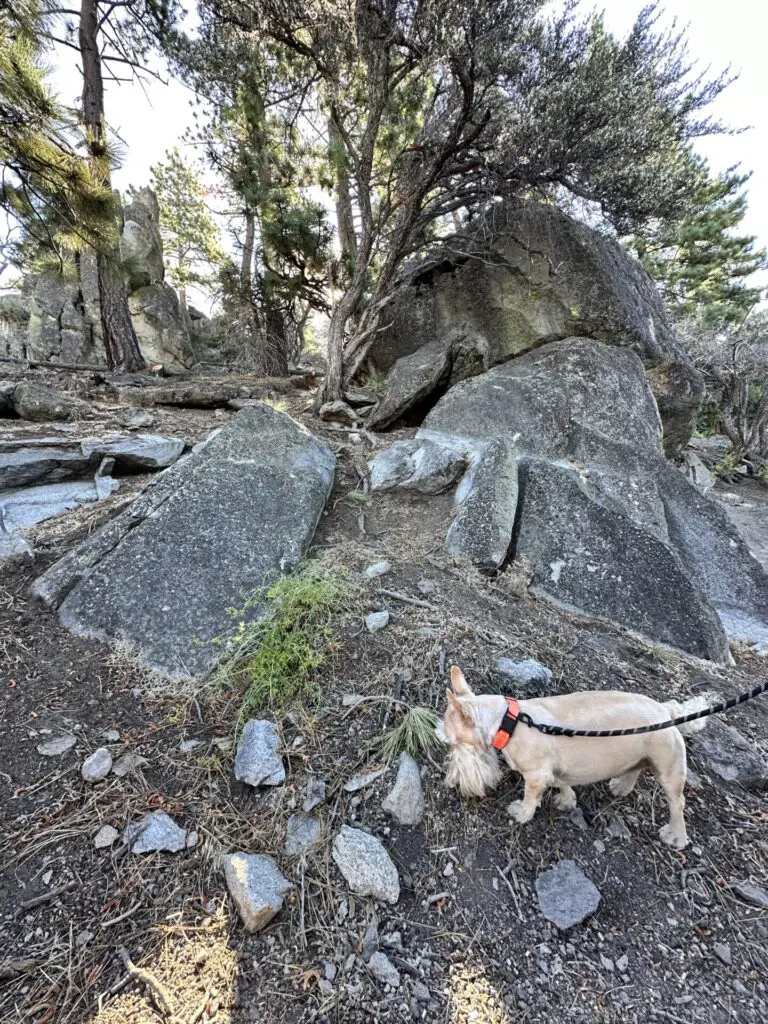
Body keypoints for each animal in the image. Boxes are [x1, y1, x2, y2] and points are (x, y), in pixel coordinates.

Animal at [436, 663, 712, 847]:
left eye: (452, 742)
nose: (451, 782)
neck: (510, 721)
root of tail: (666, 711)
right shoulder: (556, 770)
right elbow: (562, 782)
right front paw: (567, 799)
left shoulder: (536, 775)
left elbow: (530, 798)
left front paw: (522, 813)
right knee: (635, 768)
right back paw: (621, 786)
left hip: (669, 770)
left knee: (678, 803)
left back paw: (677, 836)